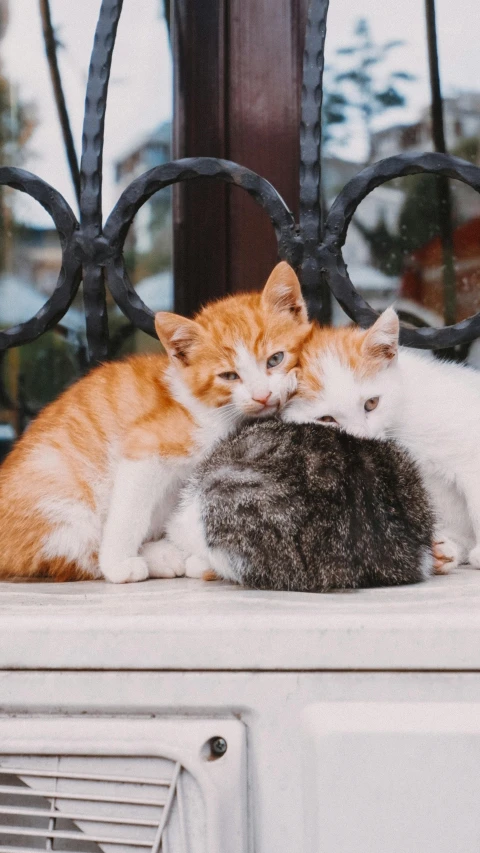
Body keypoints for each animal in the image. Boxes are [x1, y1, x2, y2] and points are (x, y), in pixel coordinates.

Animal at [0, 260, 312, 584]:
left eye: (275, 359)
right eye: (229, 376)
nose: (262, 396)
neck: (213, 411)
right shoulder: (145, 447)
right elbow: (130, 510)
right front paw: (118, 563)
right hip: (58, 495)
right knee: (73, 549)